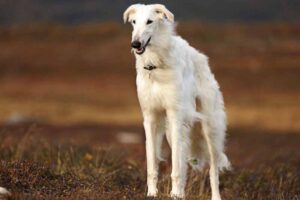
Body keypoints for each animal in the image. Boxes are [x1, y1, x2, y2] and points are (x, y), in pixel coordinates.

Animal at [122, 3, 230, 199]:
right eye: (134, 22)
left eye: (149, 21)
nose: (135, 44)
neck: (155, 66)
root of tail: (202, 58)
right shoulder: (150, 117)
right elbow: (152, 164)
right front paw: (152, 193)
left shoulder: (176, 116)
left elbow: (176, 169)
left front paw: (175, 194)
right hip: (172, 134)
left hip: (209, 129)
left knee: (213, 170)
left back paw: (214, 195)